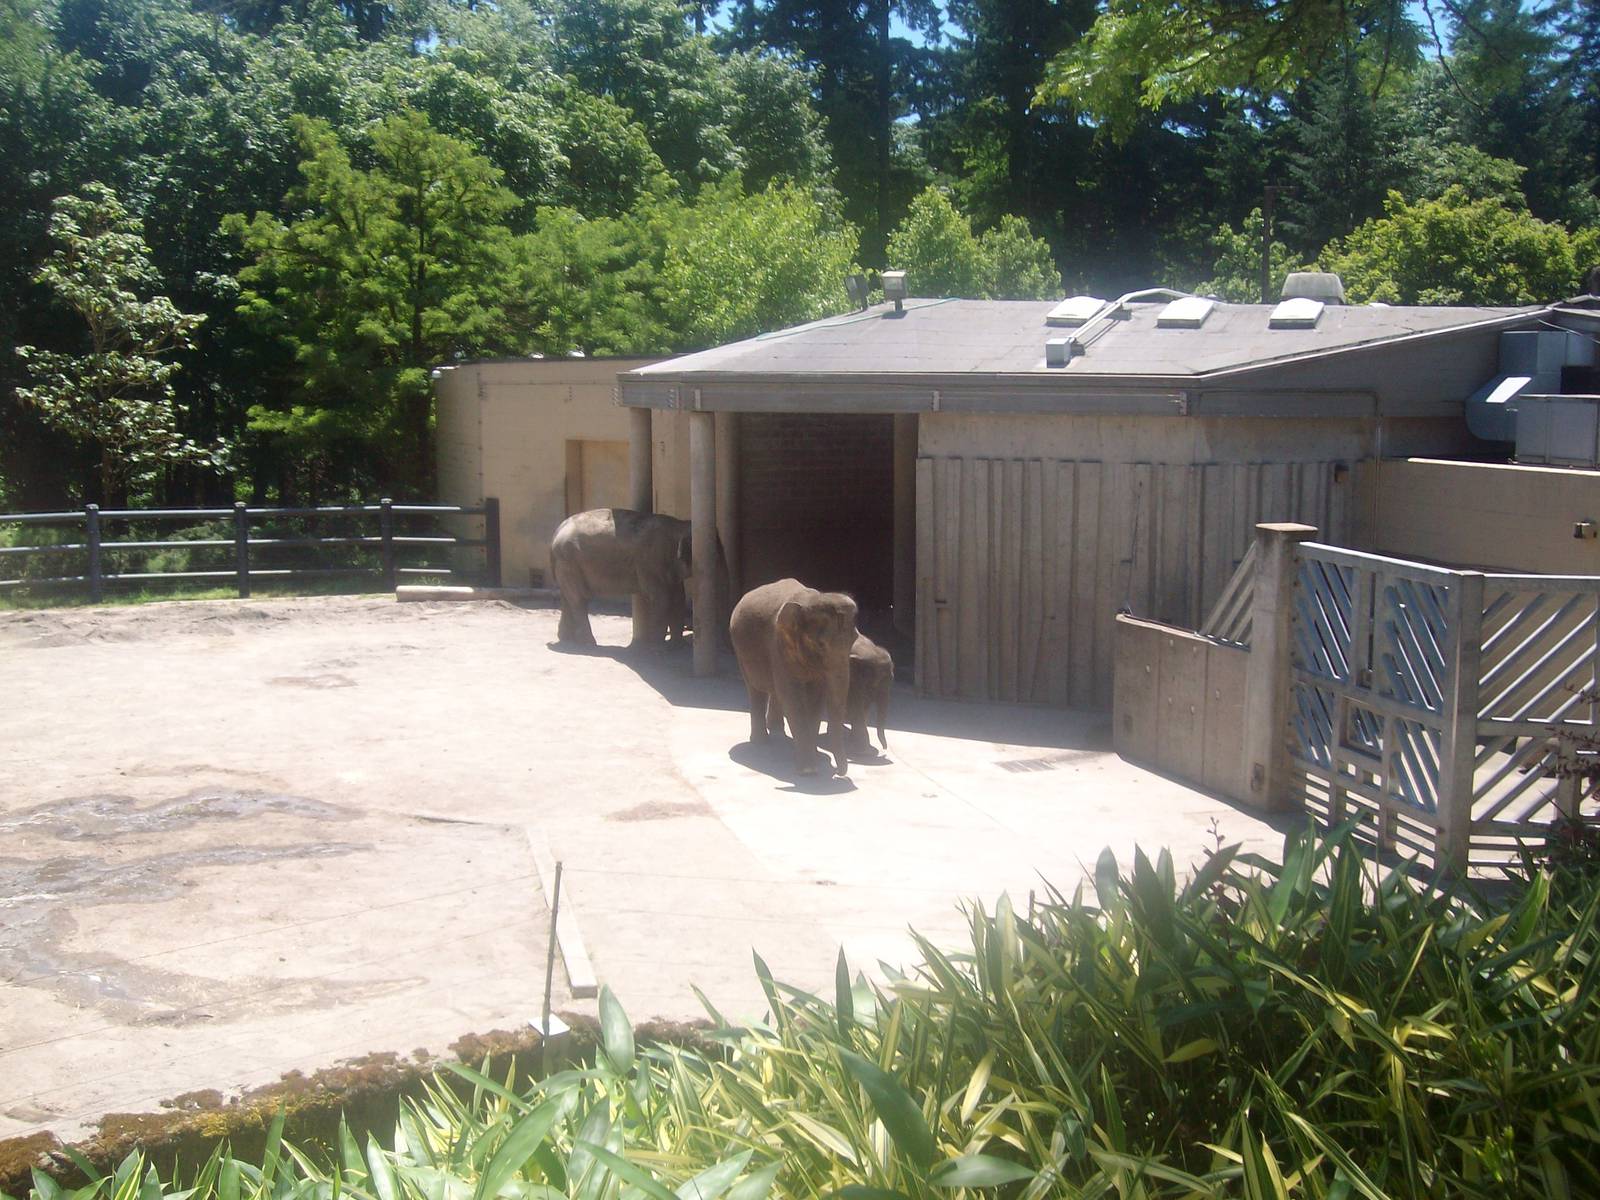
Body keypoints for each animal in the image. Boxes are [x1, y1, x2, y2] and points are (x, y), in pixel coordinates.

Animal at [549, 508, 722, 648]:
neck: (679, 525)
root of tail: (556, 531)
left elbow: (678, 598)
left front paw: (677, 646)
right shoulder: (650, 562)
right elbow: (663, 598)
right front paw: (656, 647)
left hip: (565, 564)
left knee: (568, 597)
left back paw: (566, 638)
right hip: (569, 561)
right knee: (579, 598)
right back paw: (588, 643)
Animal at [729, 578, 857, 777]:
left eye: (854, 639)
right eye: (820, 645)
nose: (839, 772)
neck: (812, 600)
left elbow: (816, 697)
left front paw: (815, 758)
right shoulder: (778, 645)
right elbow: (792, 696)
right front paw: (808, 770)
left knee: (774, 691)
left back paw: (776, 732)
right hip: (740, 650)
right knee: (756, 690)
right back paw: (761, 741)